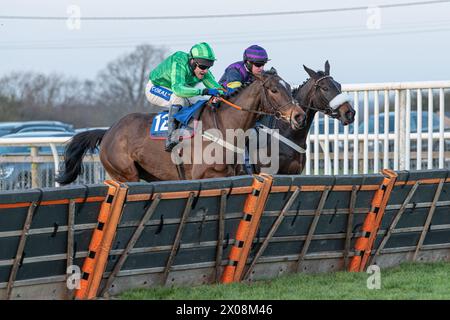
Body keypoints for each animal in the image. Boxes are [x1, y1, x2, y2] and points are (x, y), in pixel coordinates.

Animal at [57, 69, 306, 184]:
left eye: (288, 87)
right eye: (274, 89)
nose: (299, 116)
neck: (225, 127)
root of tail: (108, 131)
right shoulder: (203, 176)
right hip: (125, 174)